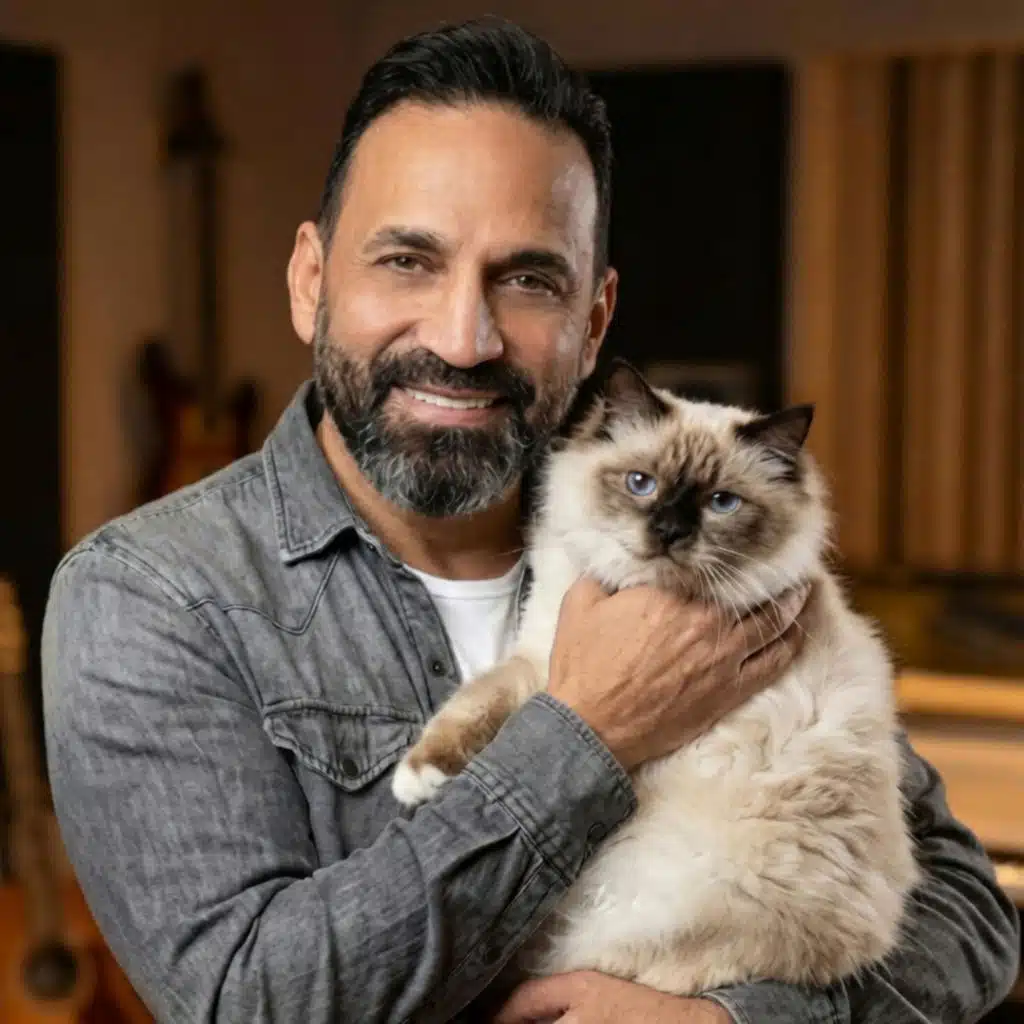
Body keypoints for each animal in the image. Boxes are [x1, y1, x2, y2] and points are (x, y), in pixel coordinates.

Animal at [390, 358, 919, 995]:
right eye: (640, 483)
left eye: (721, 502)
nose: (668, 531)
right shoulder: (544, 659)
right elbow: (472, 707)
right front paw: (419, 777)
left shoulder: (547, 674)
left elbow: (482, 711)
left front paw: (415, 781)